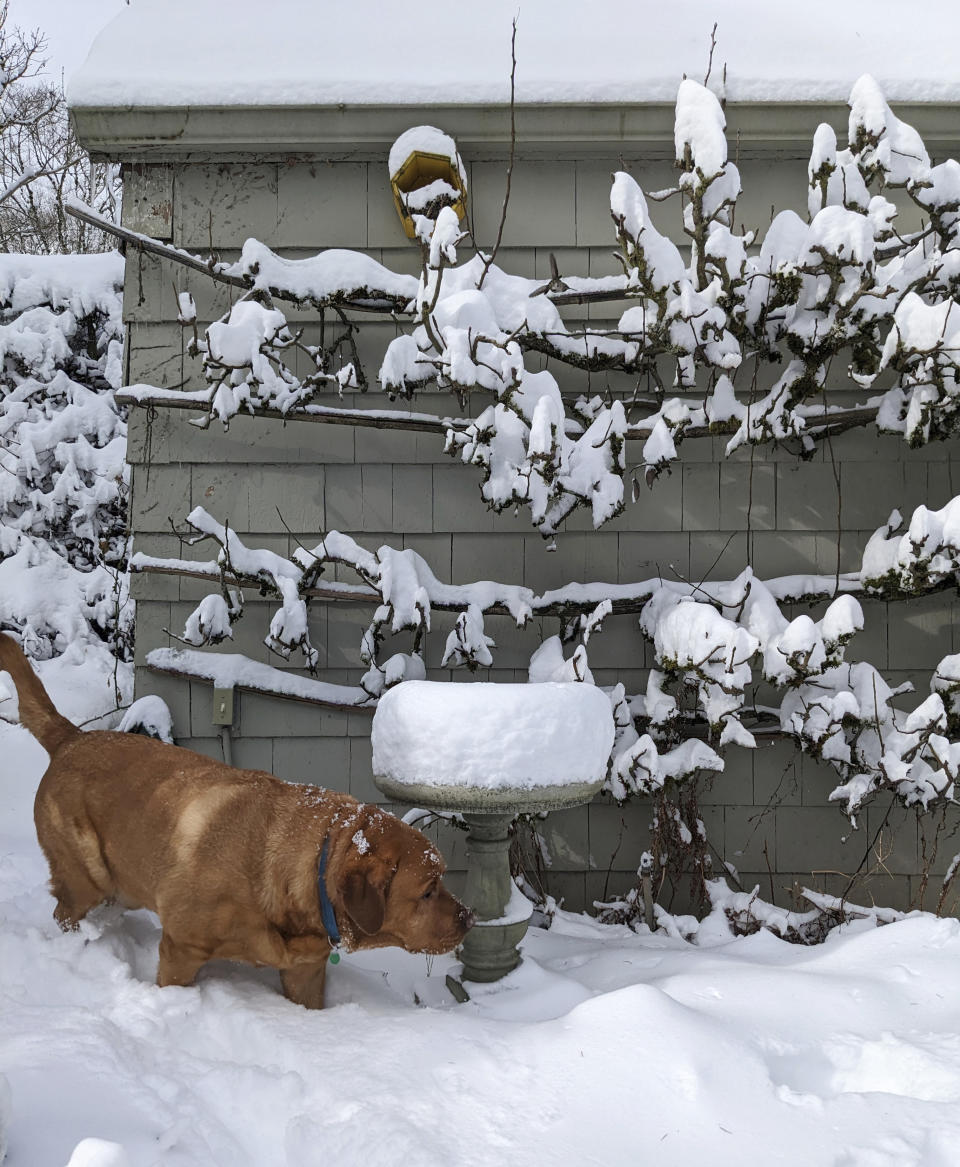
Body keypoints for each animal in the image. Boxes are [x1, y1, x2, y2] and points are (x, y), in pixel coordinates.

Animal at [0, 634, 473, 1008]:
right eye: (428, 890)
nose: (469, 917)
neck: (302, 870)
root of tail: (71, 737)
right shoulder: (180, 950)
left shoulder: (305, 972)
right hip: (87, 878)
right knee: (65, 910)